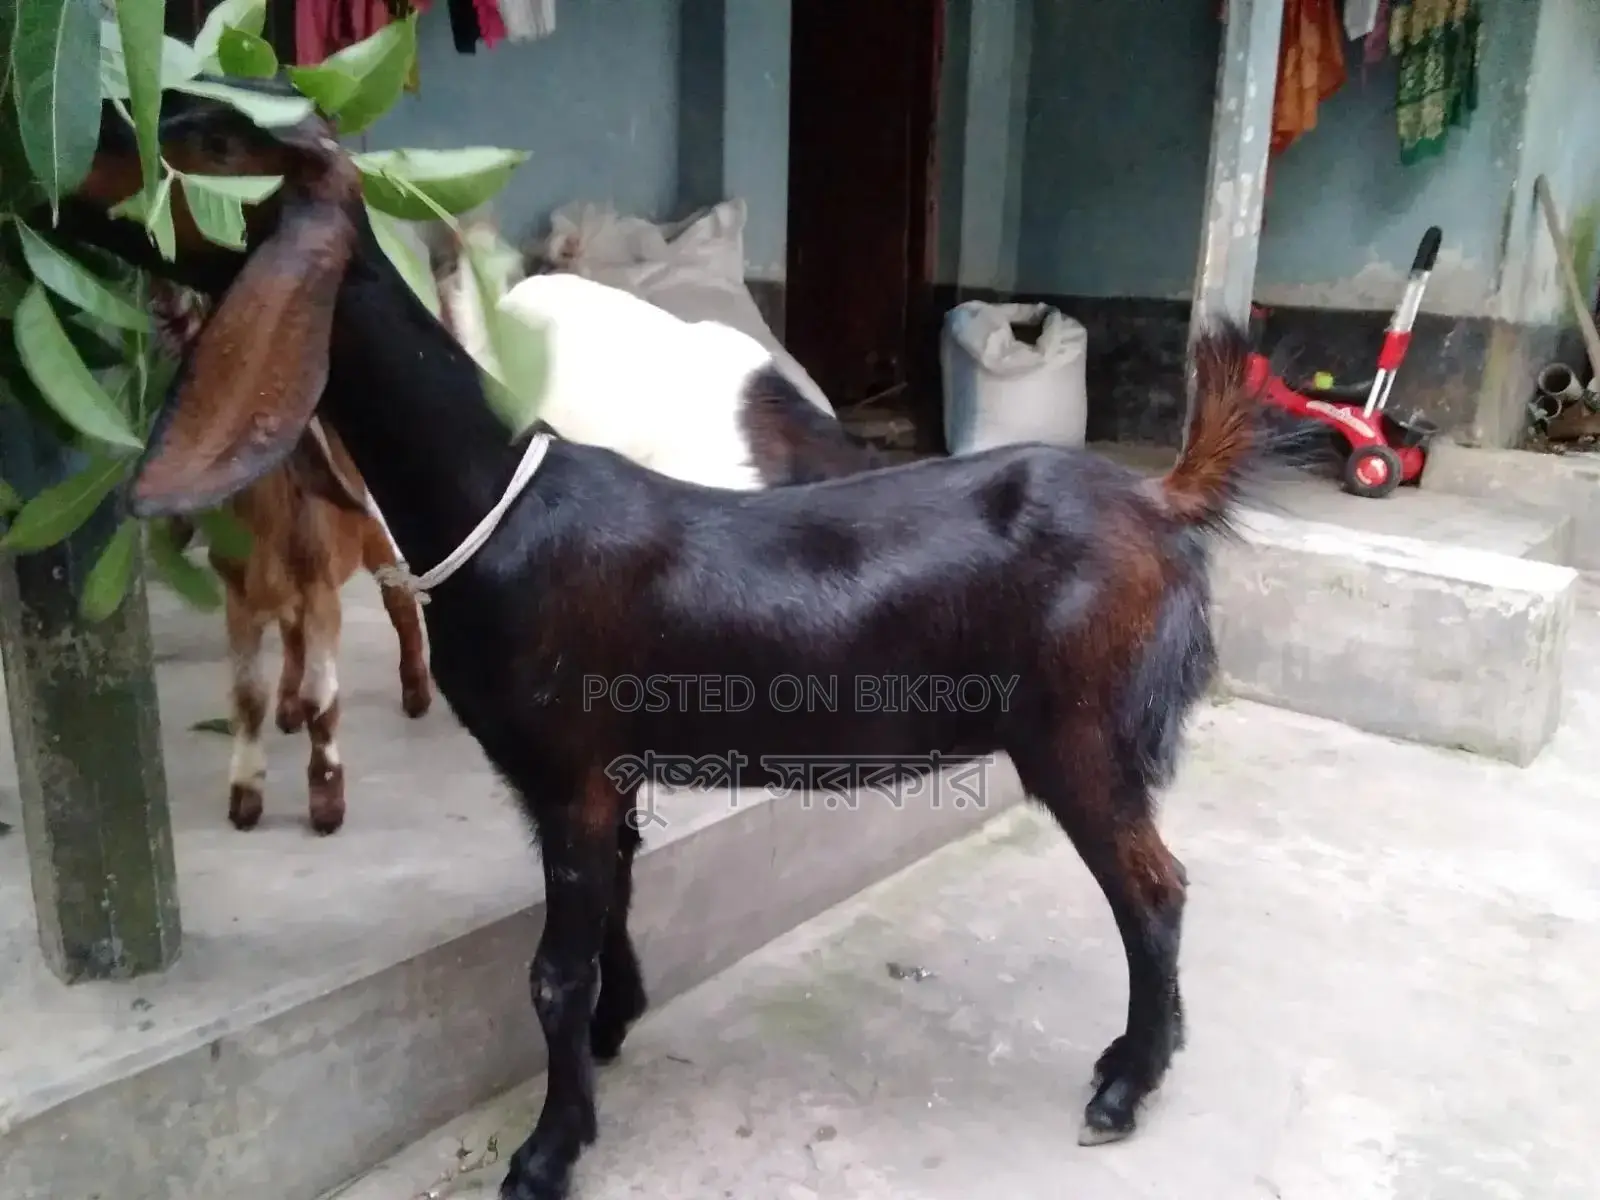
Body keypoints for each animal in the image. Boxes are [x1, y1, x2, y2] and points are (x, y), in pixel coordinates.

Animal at [147, 280, 432, 836]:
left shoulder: (322, 590)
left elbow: (323, 698)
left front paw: (326, 805)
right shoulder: (238, 598)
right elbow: (246, 697)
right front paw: (245, 798)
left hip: (374, 531)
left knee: (399, 600)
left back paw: (416, 694)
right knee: (292, 634)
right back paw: (287, 708)